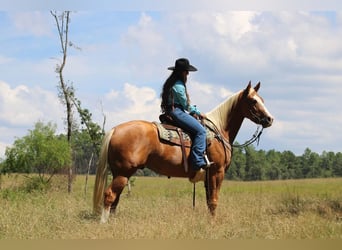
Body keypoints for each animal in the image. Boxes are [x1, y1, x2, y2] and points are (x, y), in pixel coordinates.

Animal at [93, 81, 272, 222]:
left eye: (262, 100)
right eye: (253, 101)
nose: (270, 119)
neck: (219, 131)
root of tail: (115, 130)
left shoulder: (208, 175)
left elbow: (209, 201)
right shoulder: (217, 172)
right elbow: (214, 201)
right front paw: (213, 224)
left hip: (120, 173)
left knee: (116, 199)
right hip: (123, 173)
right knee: (109, 196)